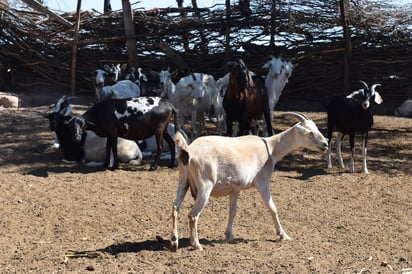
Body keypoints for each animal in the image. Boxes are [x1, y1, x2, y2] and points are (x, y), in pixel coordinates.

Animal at [171, 111, 328, 250]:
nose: (325, 144)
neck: (270, 148)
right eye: (309, 132)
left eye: (316, 128)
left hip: (183, 180)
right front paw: (284, 235)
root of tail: (188, 151)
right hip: (205, 186)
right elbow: (273, 208)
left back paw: (174, 242)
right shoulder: (262, 182)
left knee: (175, 208)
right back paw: (196, 245)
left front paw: (229, 235)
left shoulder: (235, 189)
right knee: (192, 215)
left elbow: (233, 211)